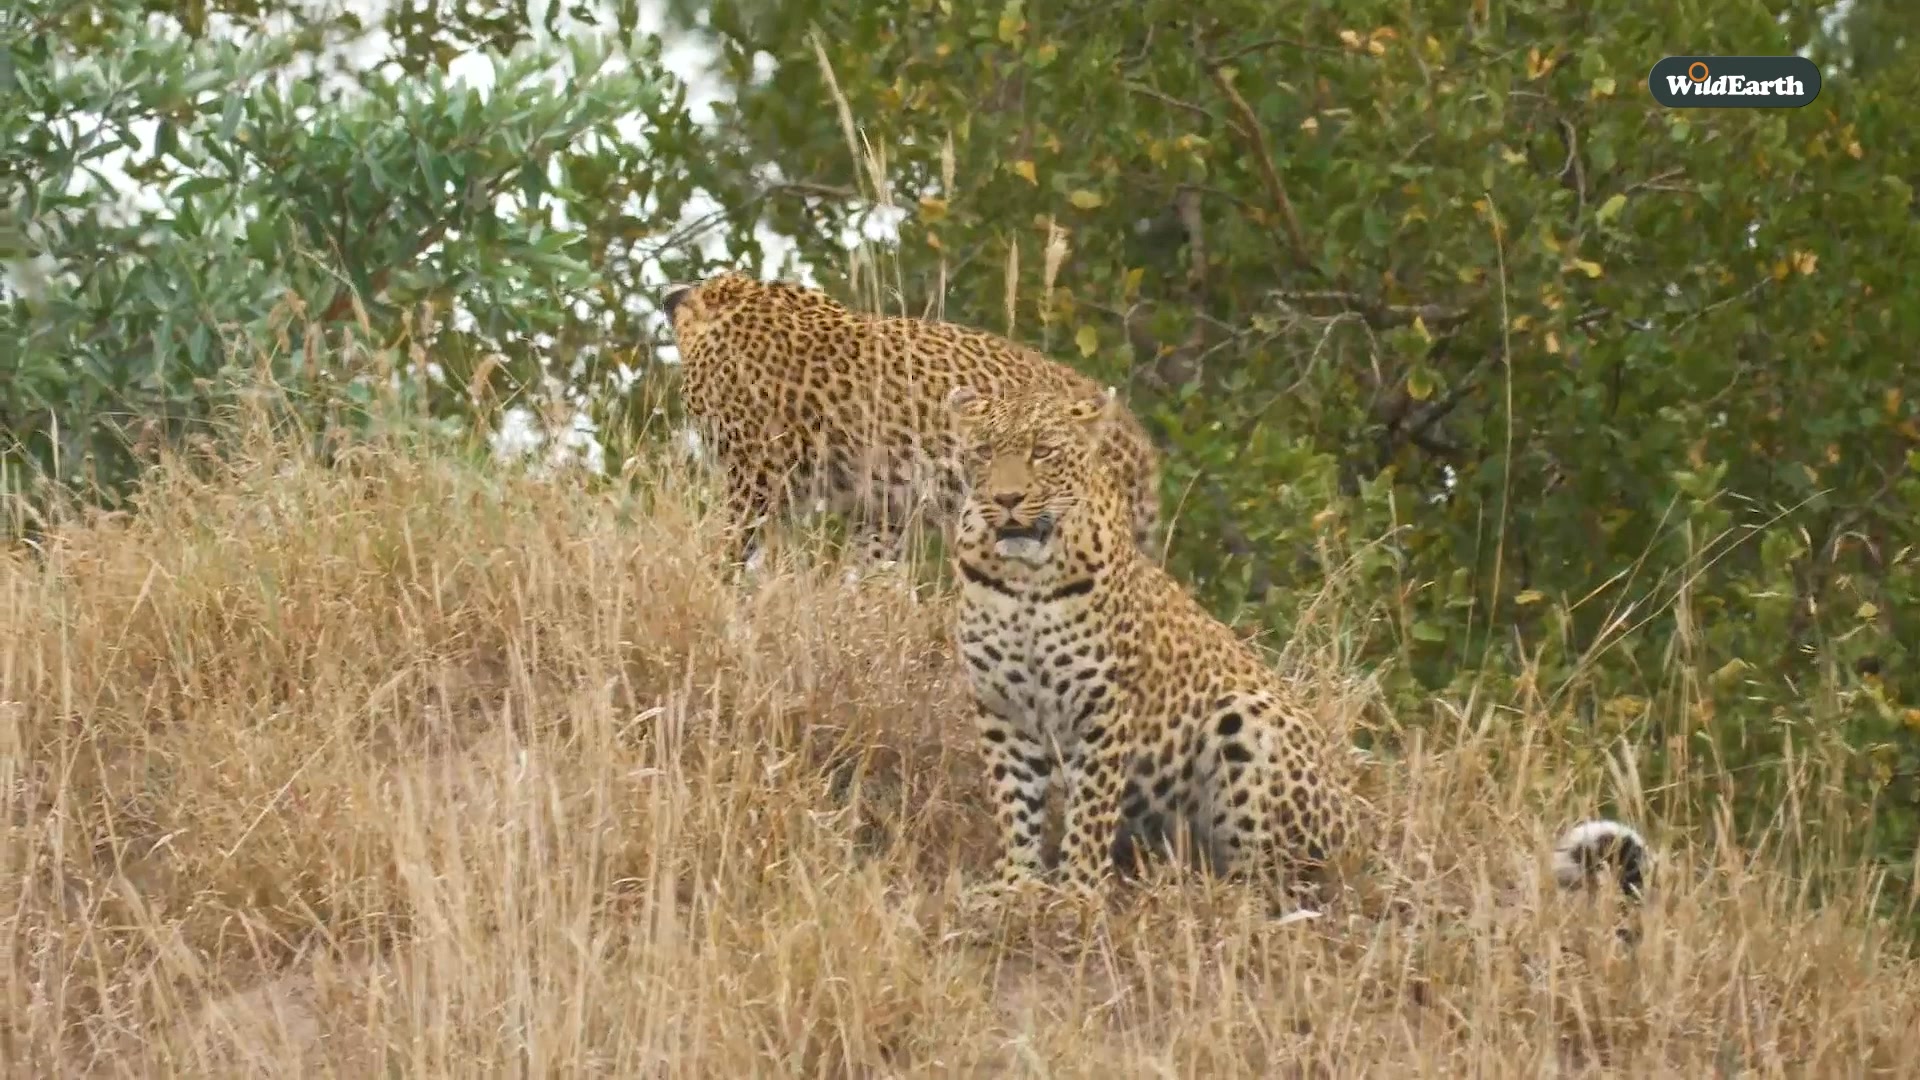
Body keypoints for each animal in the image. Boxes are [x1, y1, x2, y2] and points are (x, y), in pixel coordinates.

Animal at [941, 381, 1650, 912]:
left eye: (1043, 452)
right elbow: (1015, 802)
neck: (1025, 580)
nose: (1006, 499)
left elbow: (1089, 808)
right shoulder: (1000, 706)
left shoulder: (1105, 706)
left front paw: (1077, 892)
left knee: (1284, 881)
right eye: (983, 452)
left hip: (1246, 720)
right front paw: (1017, 884)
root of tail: (1361, 828)